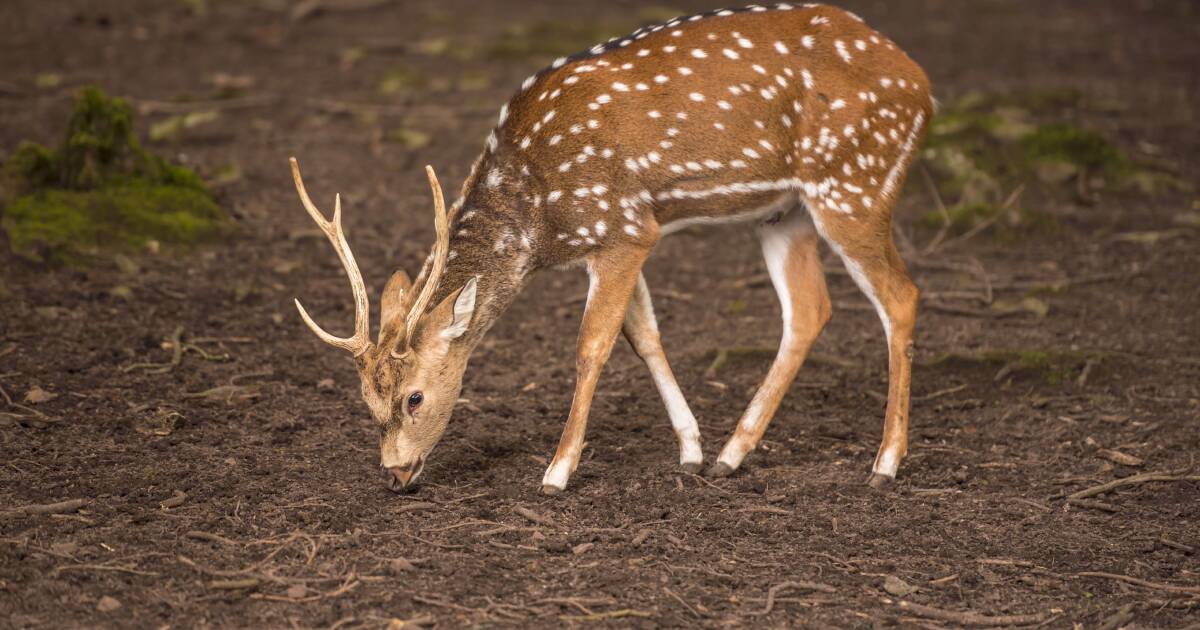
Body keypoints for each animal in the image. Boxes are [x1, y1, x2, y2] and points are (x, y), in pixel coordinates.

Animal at [292, 3, 936, 496]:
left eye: (414, 397)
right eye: (366, 400)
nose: (397, 473)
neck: (539, 216)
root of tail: (922, 85)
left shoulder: (625, 227)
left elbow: (592, 345)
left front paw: (557, 472)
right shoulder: (623, 233)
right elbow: (643, 334)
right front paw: (691, 449)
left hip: (854, 184)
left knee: (902, 296)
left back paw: (884, 464)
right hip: (785, 212)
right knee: (809, 309)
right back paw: (732, 454)